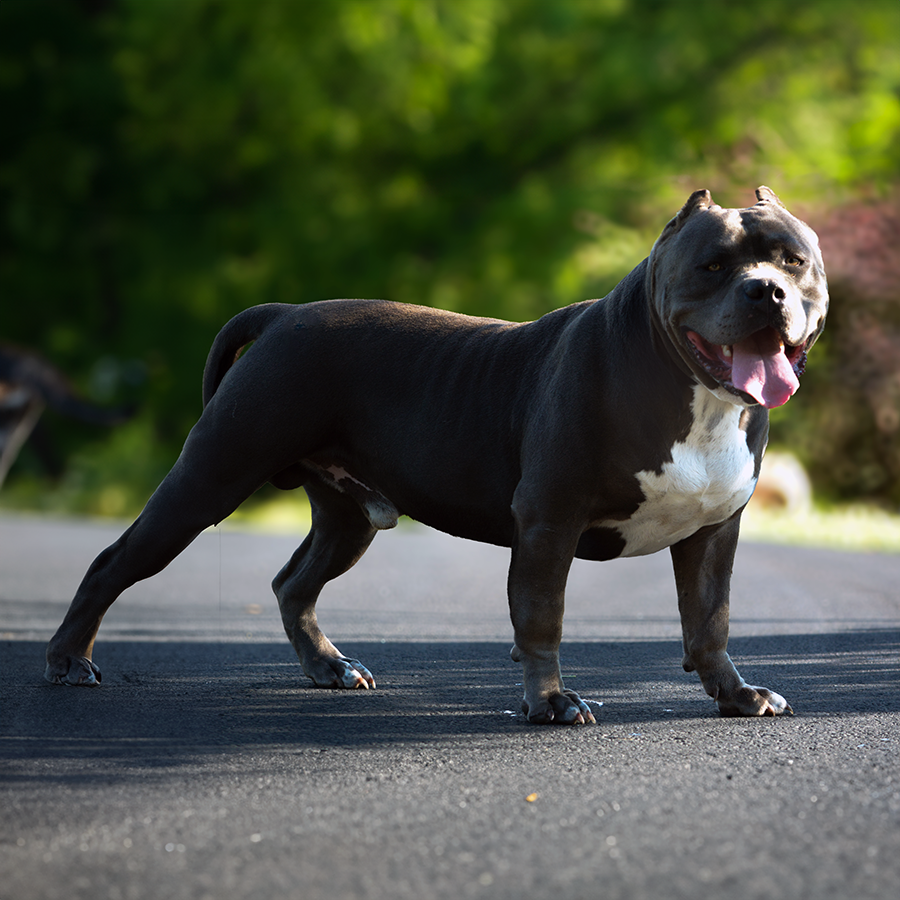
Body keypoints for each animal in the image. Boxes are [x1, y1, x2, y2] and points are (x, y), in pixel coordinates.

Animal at [45, 188, 828, 724]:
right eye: (713, 265)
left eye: (794, 261)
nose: (768, 291)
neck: (694, 396)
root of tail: (285, 314)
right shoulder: (549, 521)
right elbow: (541, 615)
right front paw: (549, 703)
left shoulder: (712, 533)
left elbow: (709, 618)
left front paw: (735, 694)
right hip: (209, 479)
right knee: (114, 563)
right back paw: (68, 661)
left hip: (348, 519)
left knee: (293, 583)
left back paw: (330, 669)